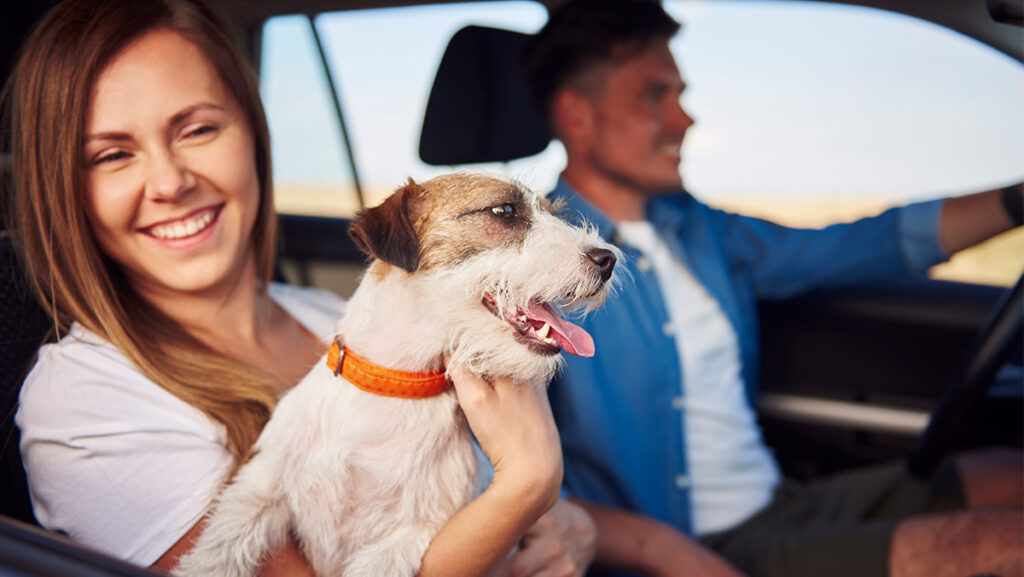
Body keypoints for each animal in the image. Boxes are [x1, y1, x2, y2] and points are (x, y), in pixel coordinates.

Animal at [177, 173, 618, 577]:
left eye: (552, 212)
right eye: (504, 211)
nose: (608, 259)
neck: (394, 386)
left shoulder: (416, 532)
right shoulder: (260, 486)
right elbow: (223, 542)